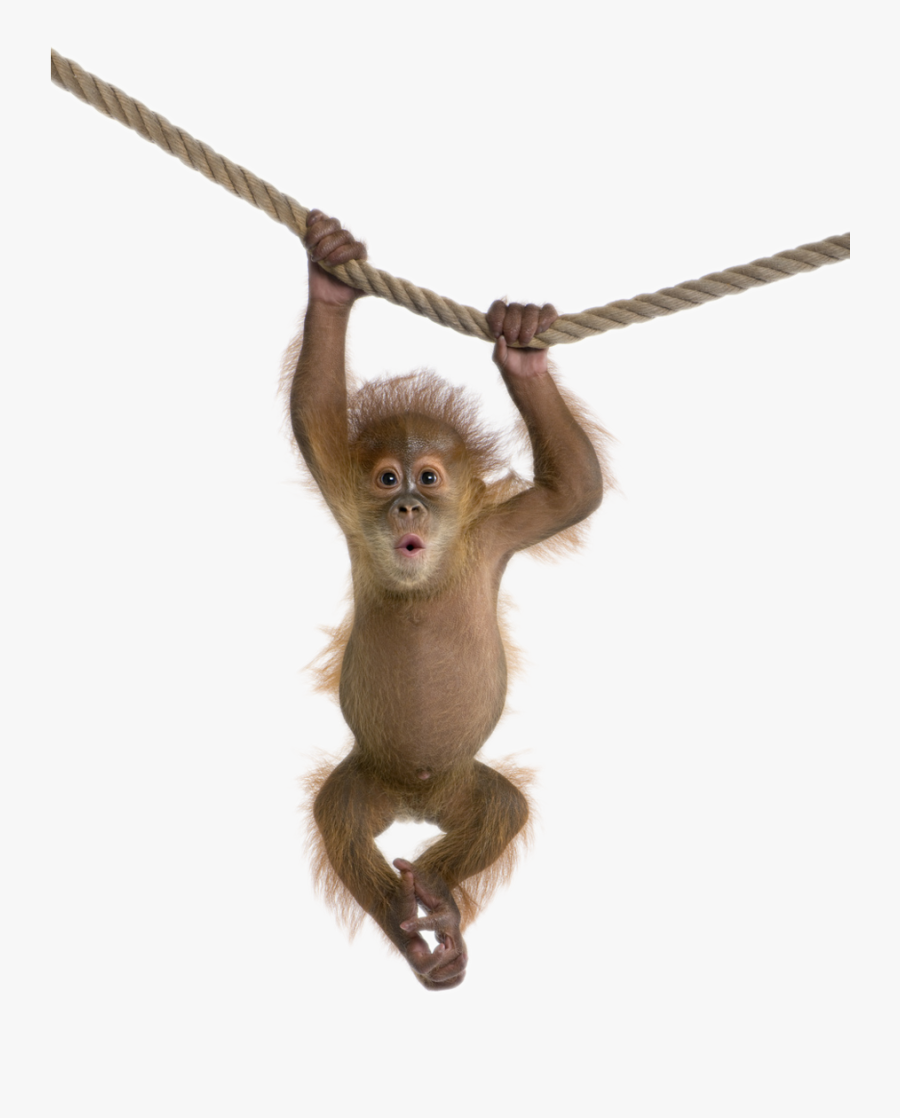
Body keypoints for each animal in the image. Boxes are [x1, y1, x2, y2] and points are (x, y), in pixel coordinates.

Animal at [290, 211, 608, 988]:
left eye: (428, 478)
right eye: (386, 479)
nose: (407, 506)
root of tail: (416, 800)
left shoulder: (497, 532)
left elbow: (575, 489)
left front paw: (521, 346)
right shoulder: (345, 497)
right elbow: (313, 413)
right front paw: (330, 276)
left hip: (462, 787)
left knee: (502, 809)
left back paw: (435, 896)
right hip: (368, 780)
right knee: (339, 822)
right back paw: (411, 930)